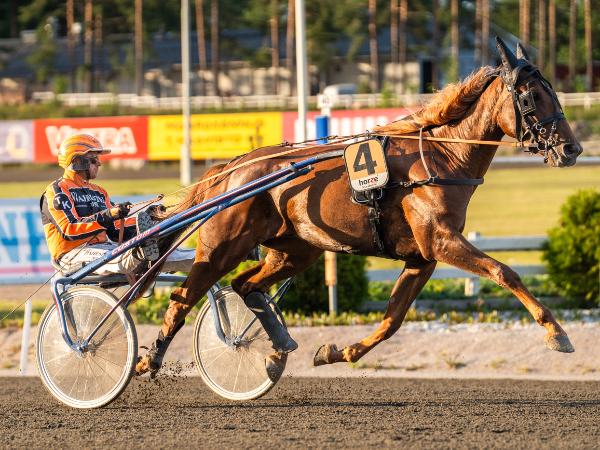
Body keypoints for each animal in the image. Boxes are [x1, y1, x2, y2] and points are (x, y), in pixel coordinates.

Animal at [135, 37, 582, 377]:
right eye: (531, 96)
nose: (572, 149)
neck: (441, 158)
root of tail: (231, 169)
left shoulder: (422, 258)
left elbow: (391, 320)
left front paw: (336, 352)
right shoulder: (441, 241)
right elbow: (504, 272)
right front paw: (555, 332)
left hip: (296, 249)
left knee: (247, 285)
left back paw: (278, 348)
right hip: (221, 247)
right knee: (183, 298)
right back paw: (149, 359)